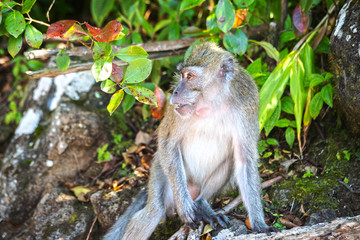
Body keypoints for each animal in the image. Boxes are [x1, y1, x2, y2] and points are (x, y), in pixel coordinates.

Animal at [103, 42, 268, 239]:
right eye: (182, 76)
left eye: (190, 76)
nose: (175, 91)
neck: (214, 103)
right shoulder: (177, 112)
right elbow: (168, 142)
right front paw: (184, 205)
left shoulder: (247, 104)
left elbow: (245, 159)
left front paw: (259, 223)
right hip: (162, 174)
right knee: (154, 210)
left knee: (230, 161)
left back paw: (203, 204)